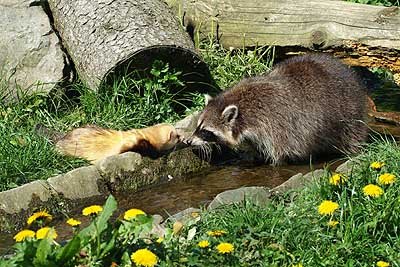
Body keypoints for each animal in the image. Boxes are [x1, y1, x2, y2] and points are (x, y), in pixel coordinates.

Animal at [188, 53, 368, 164]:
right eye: (197, 126)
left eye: (205, 131)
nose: (188, 141)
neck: (244, 109)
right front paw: (254, 156)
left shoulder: (277, 125)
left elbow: (281, 152)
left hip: (350, 115)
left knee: (352, 136)